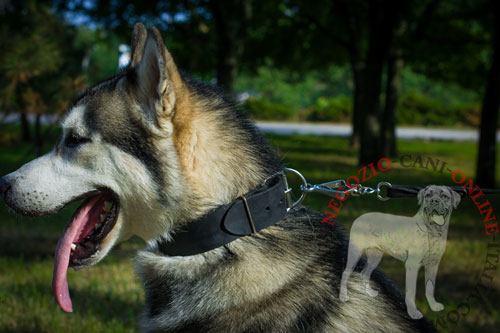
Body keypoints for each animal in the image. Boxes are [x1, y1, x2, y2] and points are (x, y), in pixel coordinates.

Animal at [340, 184, 460, 320]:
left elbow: (430, 287)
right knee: (346, 272)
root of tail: (360, 217)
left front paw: (433, 306)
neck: (432, 231)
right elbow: (411, 292)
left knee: (364, 273)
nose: (434, 201)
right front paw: (413, 313)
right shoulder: (412, 265)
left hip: (375, 256)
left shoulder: (433, 264)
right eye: (428, 195)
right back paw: (343, 297)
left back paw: (369, 293)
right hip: (355, 252)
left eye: (445, 196)